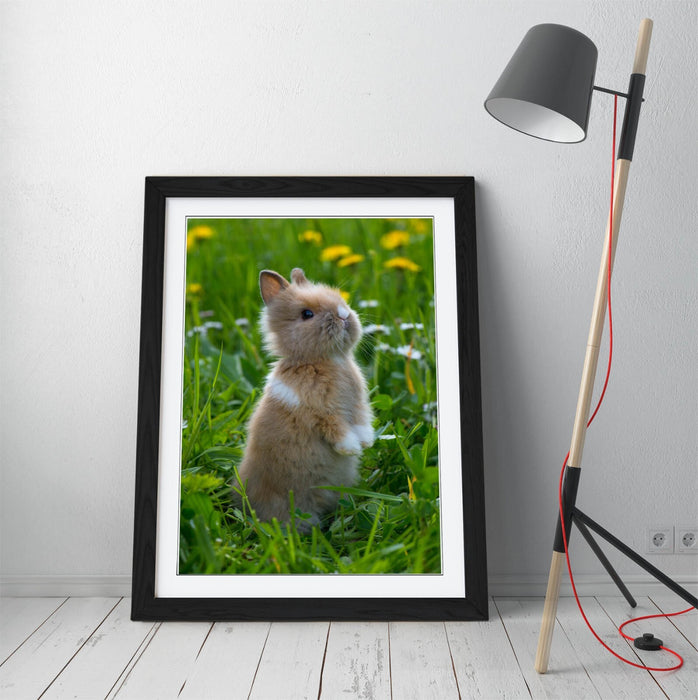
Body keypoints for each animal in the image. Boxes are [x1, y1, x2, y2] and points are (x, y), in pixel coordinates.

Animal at [233, 267, 374, 531]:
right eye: (306, 314)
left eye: (340, 300)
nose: (343, 315)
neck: (326, 360)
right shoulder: (321, 411)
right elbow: (337, 428)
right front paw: (351, 449)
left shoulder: (358, 404)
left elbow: (361, 421)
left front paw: (367, 443)